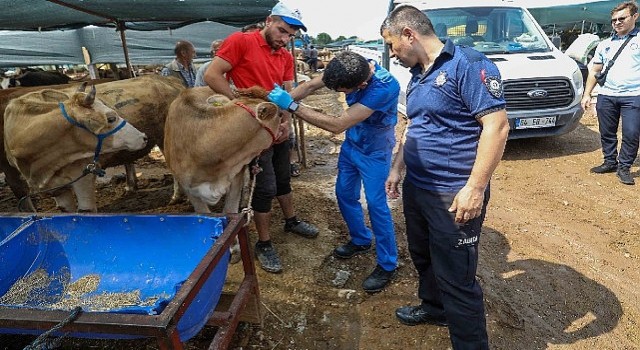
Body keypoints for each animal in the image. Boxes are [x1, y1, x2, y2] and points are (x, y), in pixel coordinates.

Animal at [165, 86, 282, 262]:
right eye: (280, 115)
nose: (287, 130)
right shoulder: (190, 190)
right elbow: (205, 214)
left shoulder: (236, 177)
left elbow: (230, 210)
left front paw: (234, 247)